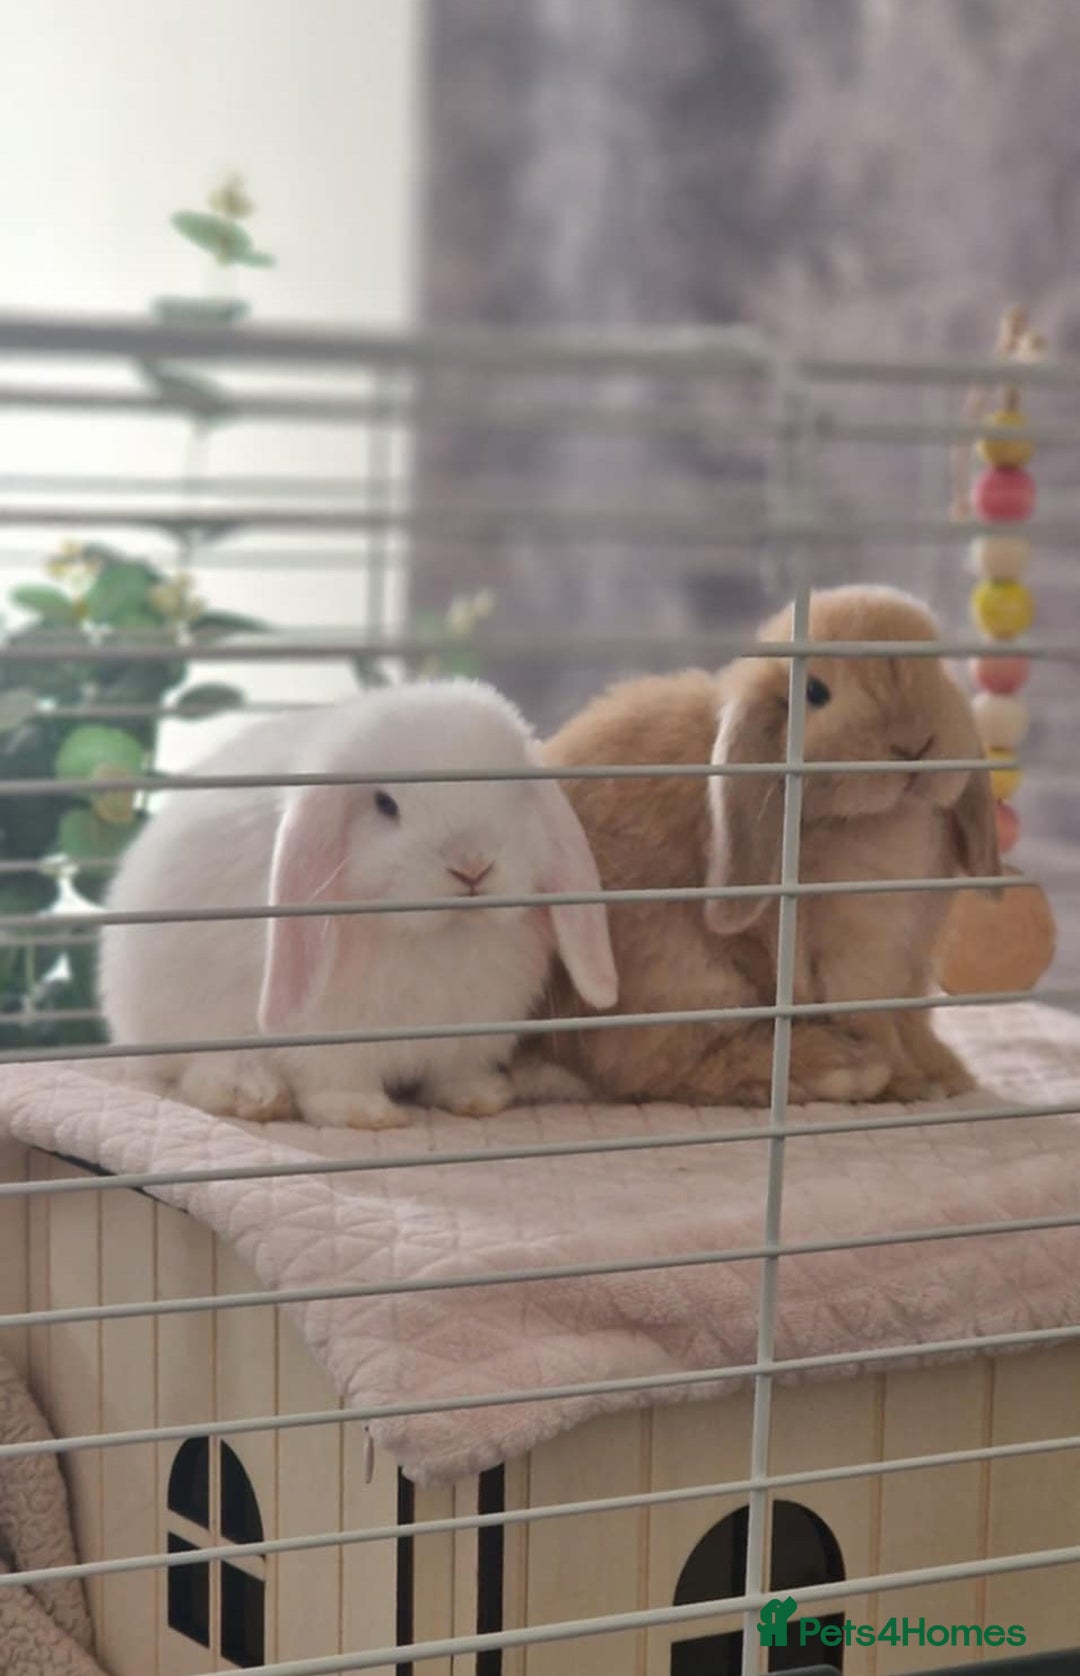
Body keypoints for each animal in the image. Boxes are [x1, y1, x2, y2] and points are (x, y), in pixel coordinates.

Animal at [97, 679, 617, 1129]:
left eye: (517, 793)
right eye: (385, 805)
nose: (472, 866)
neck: (444, 933)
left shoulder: (470, 1036)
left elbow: (456, 1075)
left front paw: (481, 1098)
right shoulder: (329, 1037)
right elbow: (334, 1082)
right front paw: (367, 1115)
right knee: (198, 1075)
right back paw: (256, 1095)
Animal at [521, 584, 1001, 1107]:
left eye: (938, 670)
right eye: (815, 693)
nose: (915, 744)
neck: (885, 819)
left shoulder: (910, 966)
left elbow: (912, 1022)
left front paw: (947, 1074)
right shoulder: (855, 965)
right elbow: (874, 1022)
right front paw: (911, 1081)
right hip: (679, 977)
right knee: (659, 1066)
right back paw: (843, 1069)